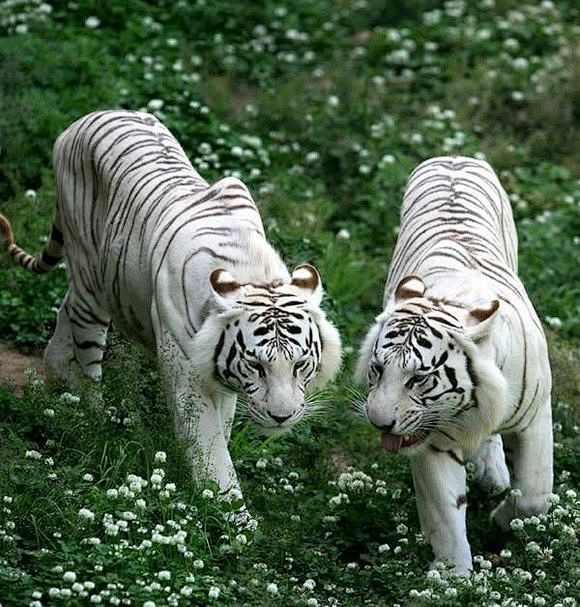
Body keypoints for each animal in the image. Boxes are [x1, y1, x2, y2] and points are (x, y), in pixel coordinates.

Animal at [0, 110, 342, 512]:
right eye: (257, 365)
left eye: (300, 363)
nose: (282, 417)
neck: (253, 274)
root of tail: (85, 119)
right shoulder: (186, 369)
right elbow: (210, 448)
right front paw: (230, 514)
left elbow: (223, 428)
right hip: (90, 281)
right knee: (89, 367)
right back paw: (94, 419)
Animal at [358, 156, 552, 568]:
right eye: (377, 369)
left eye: (418, 378)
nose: (379, 423)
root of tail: (454, 157)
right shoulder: (433, 440)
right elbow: (446, 517)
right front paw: (454, 575)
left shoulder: (536, 416)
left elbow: (533, 494)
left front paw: (502, 520)